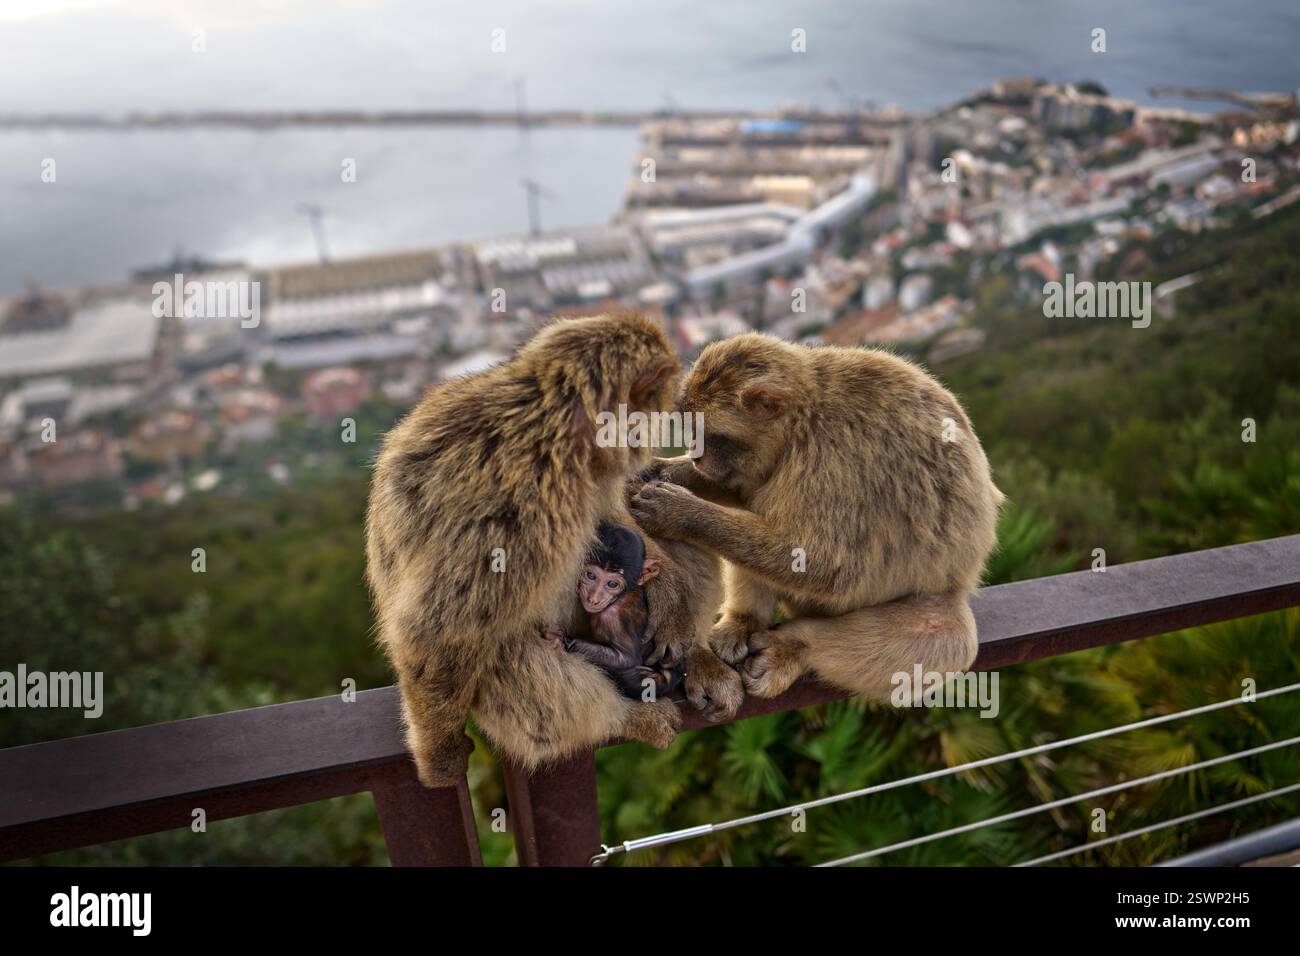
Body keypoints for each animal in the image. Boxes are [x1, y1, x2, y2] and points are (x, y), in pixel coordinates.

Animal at [543, 522, 687, 701]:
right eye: (591, 575)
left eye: (612, 584)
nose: (594, 598)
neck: (620, 598)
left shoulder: (613, 619)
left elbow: (626, 658)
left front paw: (563, 641)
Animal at [628, 333, 1003, 718]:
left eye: (708, 432)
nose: (695, 454)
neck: (803, 418)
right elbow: (748, 492)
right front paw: (661, 471)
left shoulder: (833, 457)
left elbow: (825, 565)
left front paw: (679, 512)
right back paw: (743, 621)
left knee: (947, 637)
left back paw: (792, 647)